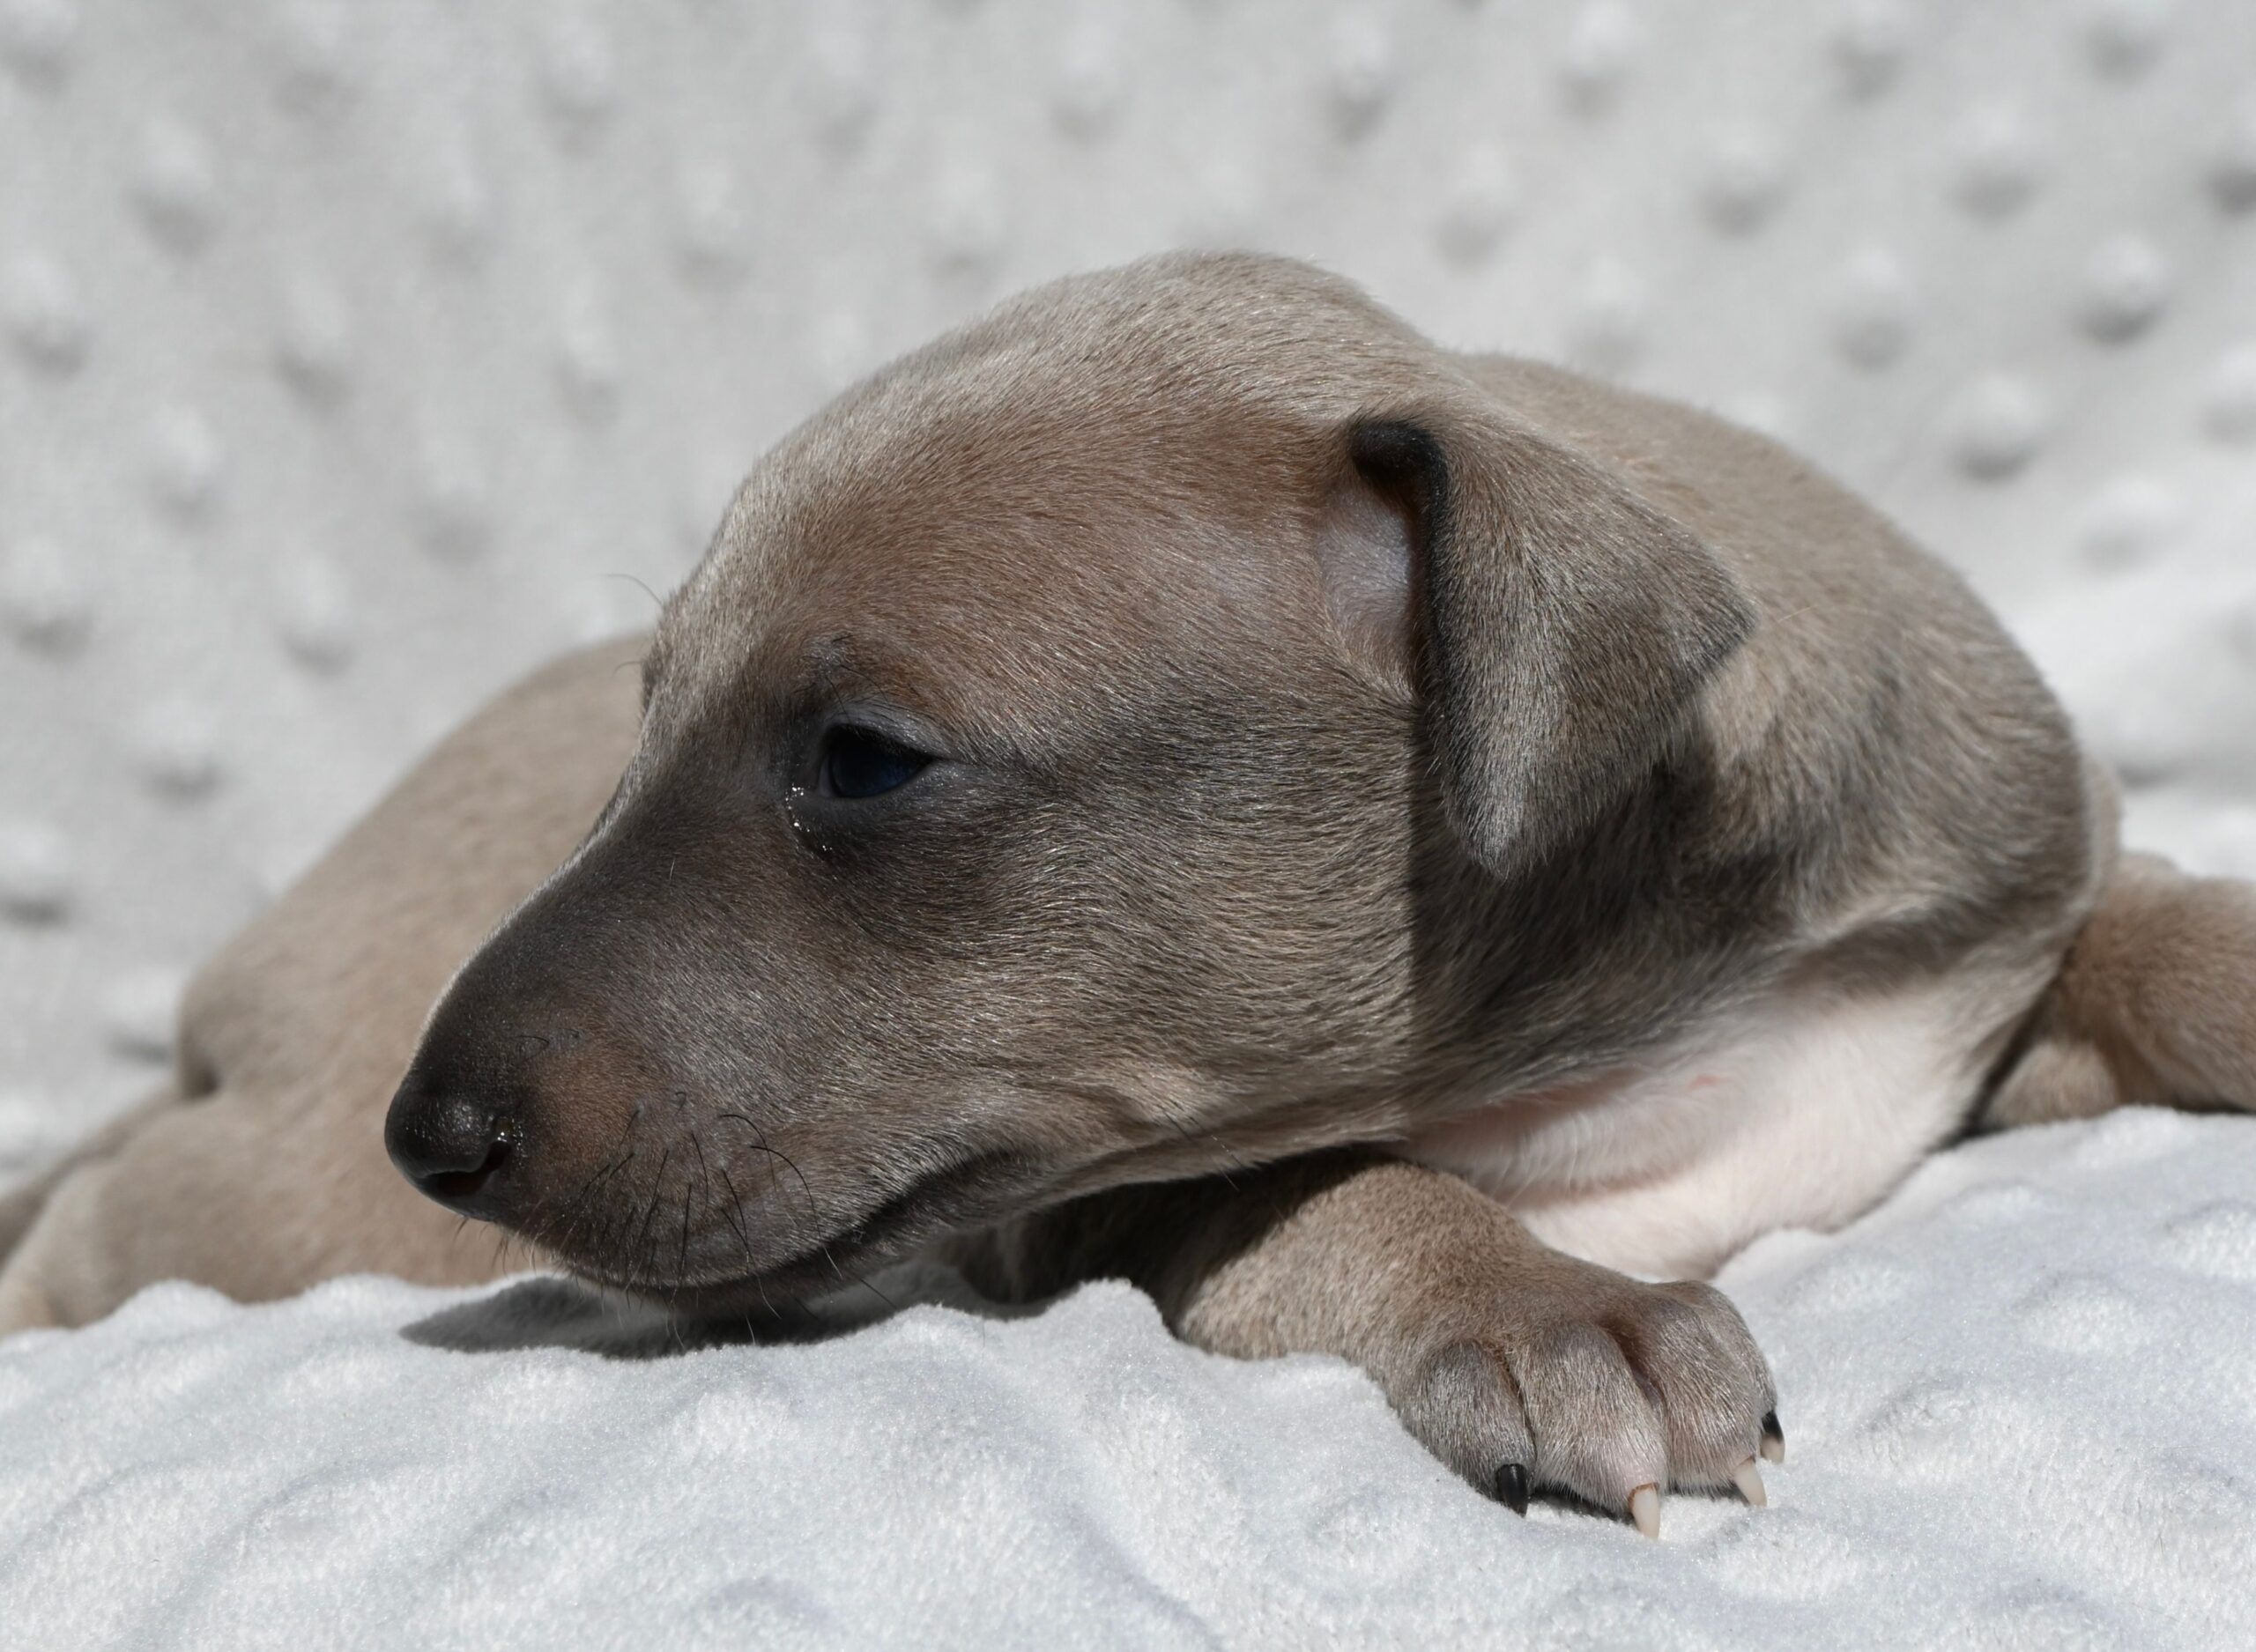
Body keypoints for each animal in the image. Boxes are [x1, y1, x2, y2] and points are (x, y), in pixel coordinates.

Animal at [6, 253, 2253, 1537]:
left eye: (861, 759)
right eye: (639, 727)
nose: (440, 1124)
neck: (1627, 1014)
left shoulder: (1979, 939)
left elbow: (2138, 930)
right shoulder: (1107, 1193)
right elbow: (1343, 1184)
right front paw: (1551, 1309)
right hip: (291, 1201)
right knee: (123, 1215)